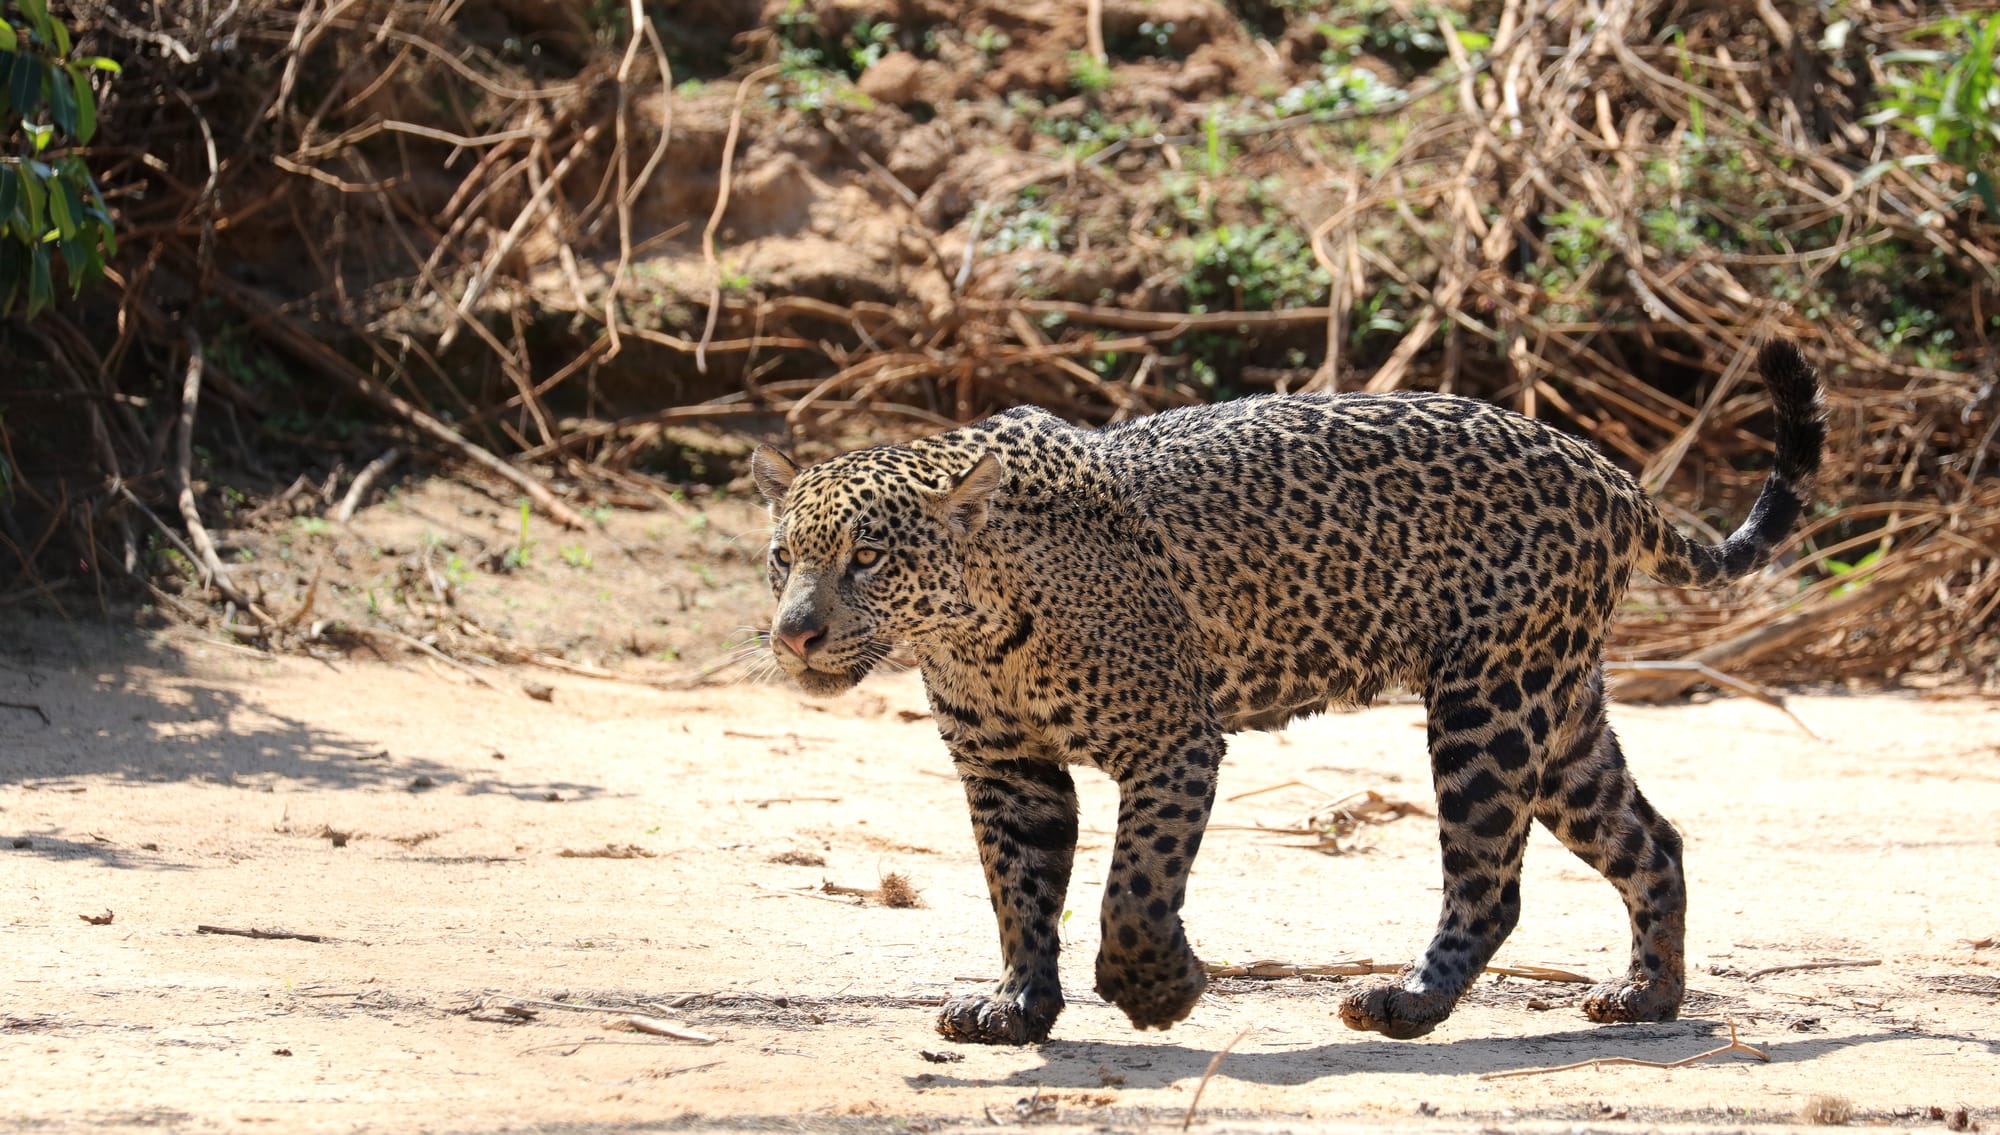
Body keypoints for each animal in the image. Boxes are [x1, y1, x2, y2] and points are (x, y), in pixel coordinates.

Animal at [749, 340, 1825, 1046]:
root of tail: (1609, 472)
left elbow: (1132, 889)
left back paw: (1404, 1004)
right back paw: (1644, 997)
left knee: (1489, 879)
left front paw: (1158, 991)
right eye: (782, 557)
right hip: (1556, 711)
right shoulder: (1006, 768)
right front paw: (1017, 1006)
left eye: (868, 557)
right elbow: (1018, 889)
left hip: (1487, 705)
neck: (973, 631)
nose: (795, 634)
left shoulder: (1171, 741)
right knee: (1651, 840)